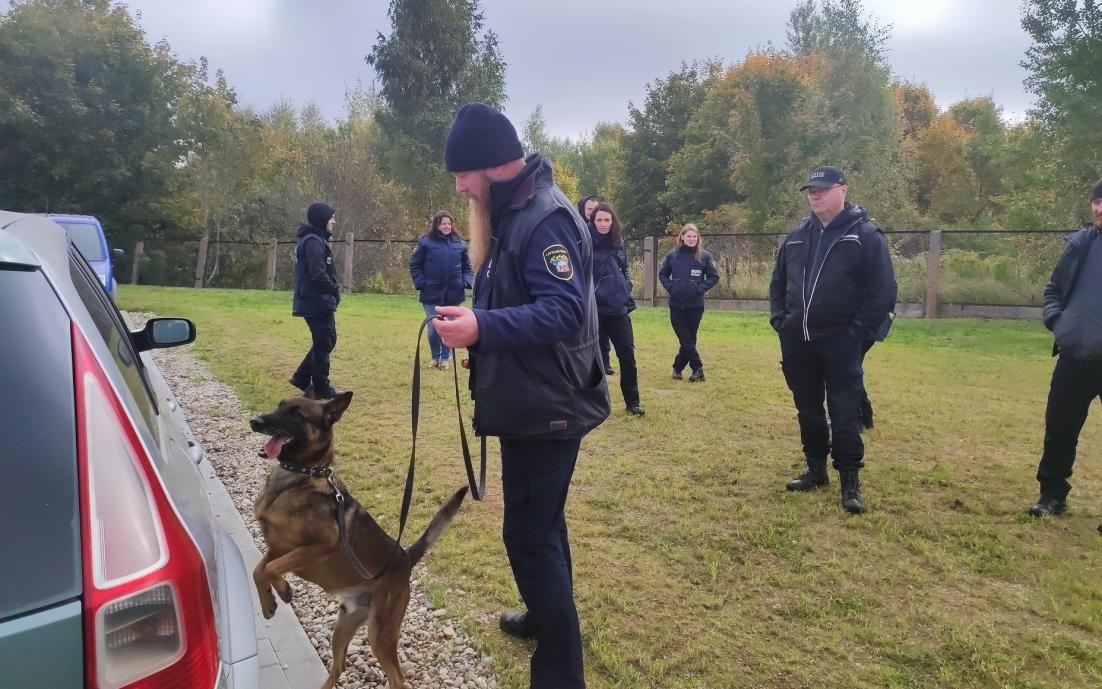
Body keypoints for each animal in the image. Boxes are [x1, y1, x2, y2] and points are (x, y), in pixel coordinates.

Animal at [250, 392, 465, 687]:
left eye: (296, 413)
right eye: (279, 406)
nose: (254, 422)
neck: (300, 477)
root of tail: (405, 558)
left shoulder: (320, 545)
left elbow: (270, 569)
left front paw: (282, 591)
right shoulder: (277, 548)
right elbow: (258, 570)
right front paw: (268, 602)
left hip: (380, 632)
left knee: (397, 678)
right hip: (344, 625)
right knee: (339, 666)